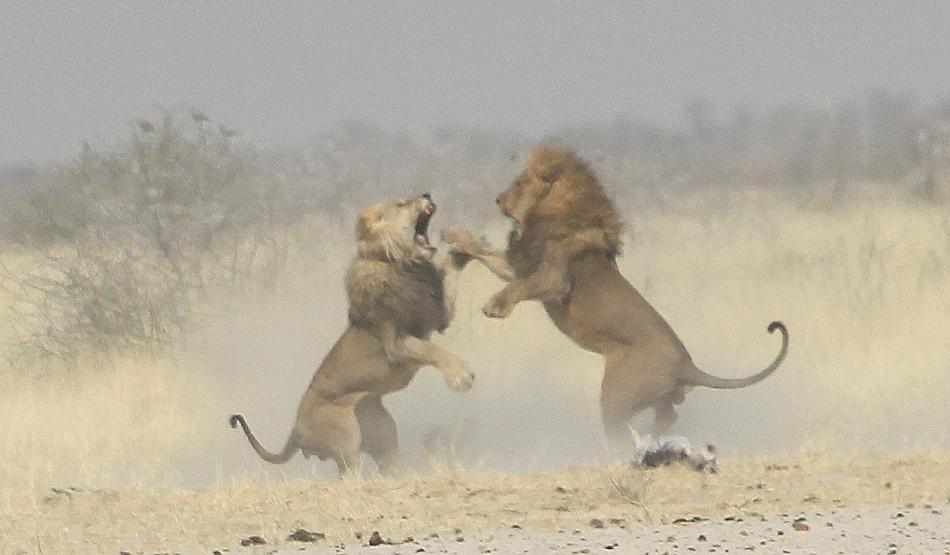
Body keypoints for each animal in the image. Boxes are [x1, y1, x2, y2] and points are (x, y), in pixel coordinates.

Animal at [227, 193, 472, 476]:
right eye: (401, 204)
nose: (427, 194)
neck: (402, 265)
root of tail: (295, 430)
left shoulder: (439, 316)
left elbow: (451, 271)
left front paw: (463, 245)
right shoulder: (395, 344)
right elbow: (431, 349)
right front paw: (461, 376)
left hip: (383, 432)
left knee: (388, 465)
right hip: (346, 435)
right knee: (349, 475)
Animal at [446, 147, 788, 444]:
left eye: (518, 184)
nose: (497, 199)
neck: (554, 211)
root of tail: (686, 364)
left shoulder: (554, 278)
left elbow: (517, 287)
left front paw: (494, 306)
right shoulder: (521, 265)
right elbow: (485, 253)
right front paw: (454, 236)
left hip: (617, 391)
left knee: (621, 426)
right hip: (658, 397)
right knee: (668, 416)